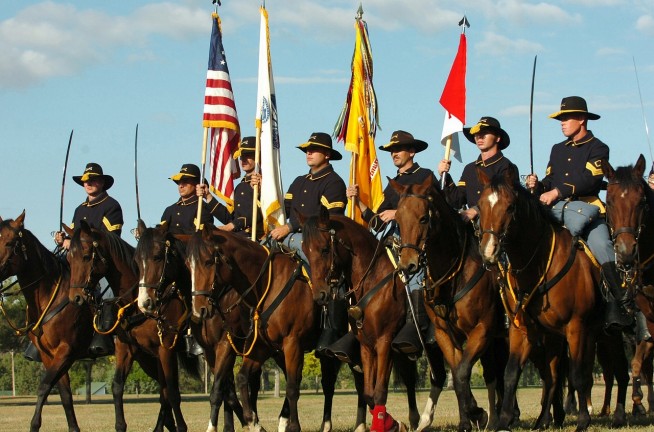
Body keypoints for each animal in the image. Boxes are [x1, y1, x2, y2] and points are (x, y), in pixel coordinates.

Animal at [0, 213, 93, 432]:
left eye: (9, 242)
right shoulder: (49, 355)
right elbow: (65, 395)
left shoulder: (66, 351)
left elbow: (43, 387)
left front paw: (34, 425)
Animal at [302, 207, 446, 432]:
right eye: (305, 251)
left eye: (325, 249)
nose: (320, 295)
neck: (373, 279)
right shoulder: (366, 346)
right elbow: (369, 393)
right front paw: (392, 423)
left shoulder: (385, 342)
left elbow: (379, 392)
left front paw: (386, 424)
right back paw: (419, 420)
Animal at [392, 176, 510, 432]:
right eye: (398, 219)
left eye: (423, 218)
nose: (407, 265)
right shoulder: (444, 334)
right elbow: (456, 375)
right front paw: (467, 419)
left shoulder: (481, 330)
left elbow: (464, 371)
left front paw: (477, 414)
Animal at [476, 167, 608, 430]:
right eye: (481, 205)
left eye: (510, 207)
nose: (488, 252)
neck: (538, 263)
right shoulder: (523, 329)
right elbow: (511, 373)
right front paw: (504, 420)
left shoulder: (576, 327)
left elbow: (577, 374)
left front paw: (582, 421)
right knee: (554, 375)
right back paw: (544, 419)